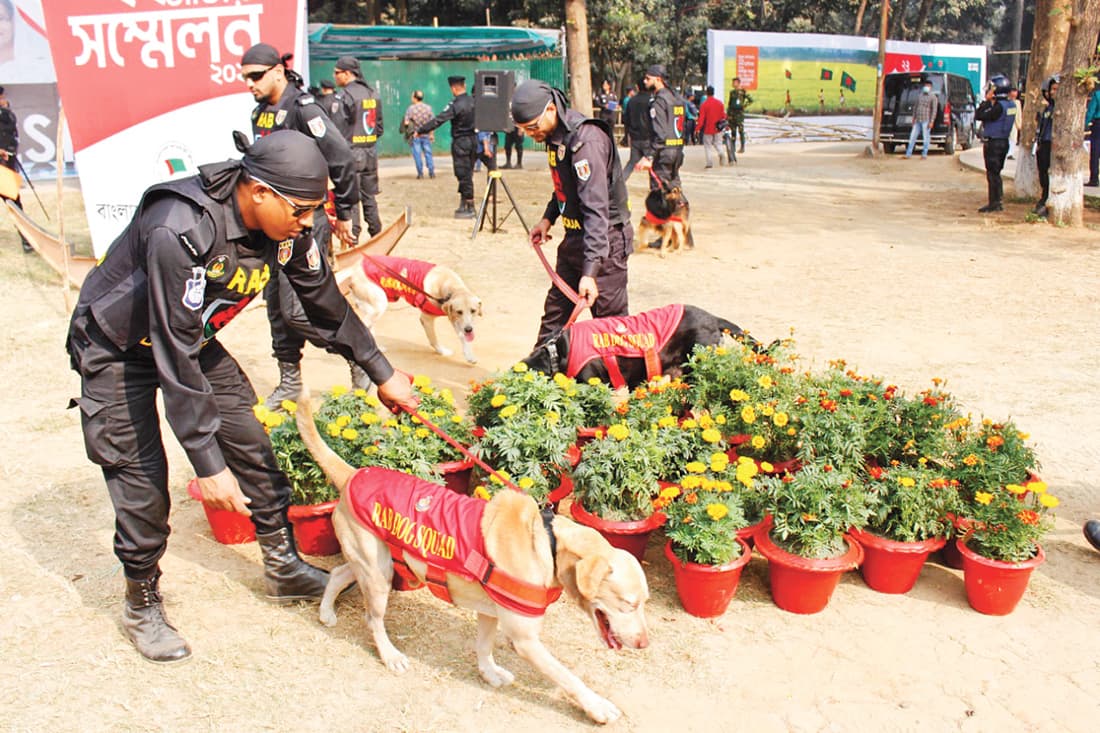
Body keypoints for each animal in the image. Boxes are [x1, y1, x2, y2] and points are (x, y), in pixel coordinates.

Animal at [297, 391, 646, 721]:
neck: (546, 544)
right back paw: (390, 655)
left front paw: (489, 673)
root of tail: (352, 475)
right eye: (628, 604)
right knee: (373, 619)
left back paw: (326, 612)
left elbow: (483, 646)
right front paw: (597, 706)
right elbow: (567, 677)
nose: (645, 644)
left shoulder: (490, 611)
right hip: (378, 574)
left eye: (644, 603)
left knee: (338, 573)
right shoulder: (525, 638)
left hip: (378, 563)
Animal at [341, 254, 484, 363]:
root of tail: (355, 267)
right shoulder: (427, 319)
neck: (448, 285)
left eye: (473, 311)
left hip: (372, 308)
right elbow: (434, 339)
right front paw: (442, 351)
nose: (469, 329)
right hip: (380, 304)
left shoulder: (456, 320)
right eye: (459, 311)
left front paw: (469, 356)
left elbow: (463, 338)